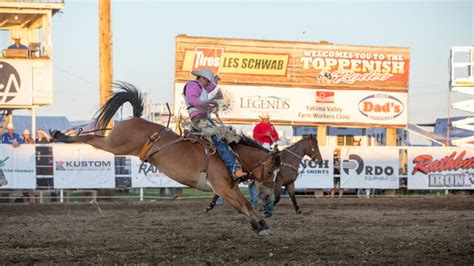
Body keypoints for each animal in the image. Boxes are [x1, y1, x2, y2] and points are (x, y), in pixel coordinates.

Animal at [51, 82, 282, 236]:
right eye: (271, 171)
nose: (269, 196)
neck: (232, 155)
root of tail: (136, 118)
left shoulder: (229, 187)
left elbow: (246, 204)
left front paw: (261, 224)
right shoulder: (222, 187)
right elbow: (243, 205)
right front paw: (260, 226)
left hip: (115, 143)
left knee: (96, 137)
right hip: (115, 144)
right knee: (90, 138)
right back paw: (61, 135)